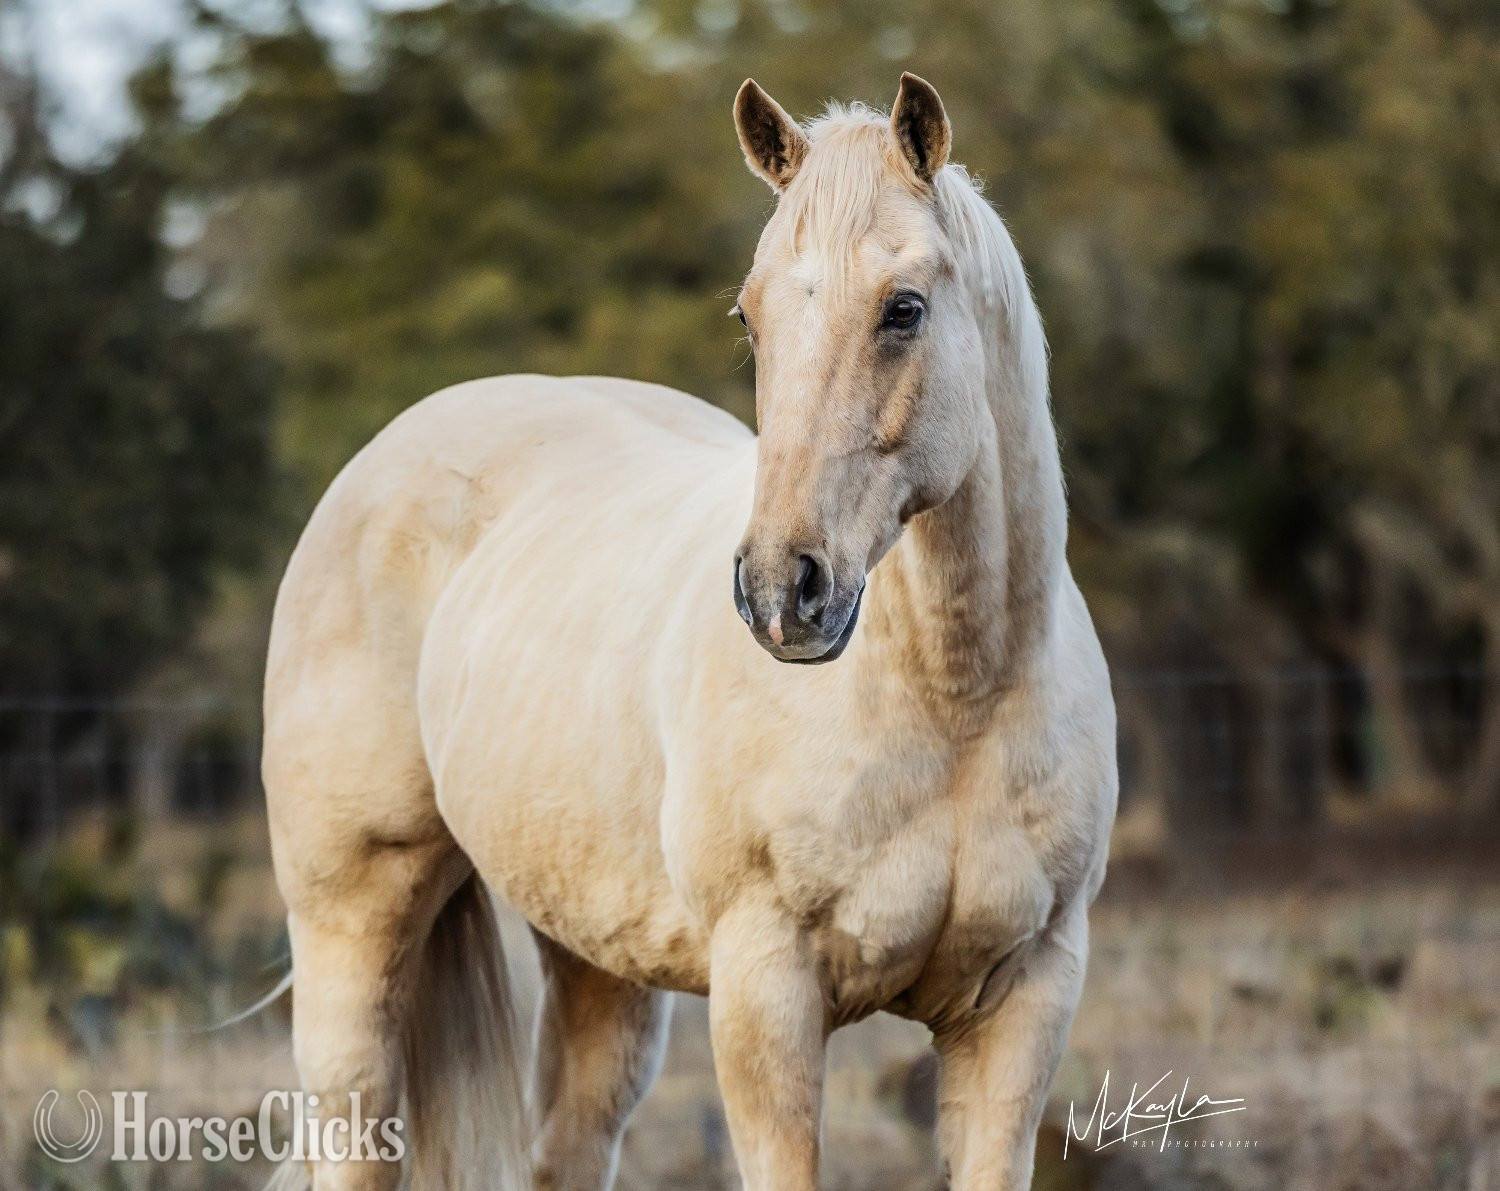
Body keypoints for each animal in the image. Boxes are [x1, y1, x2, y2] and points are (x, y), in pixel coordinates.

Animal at [261, 72, 1117, 1191]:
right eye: (751, 317)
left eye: (904, 309)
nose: (780, 590)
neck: (955, 701)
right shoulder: (766, 996)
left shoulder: (1024, 1003)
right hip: (351, 926)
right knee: (353, 1125)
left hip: (595, 961)